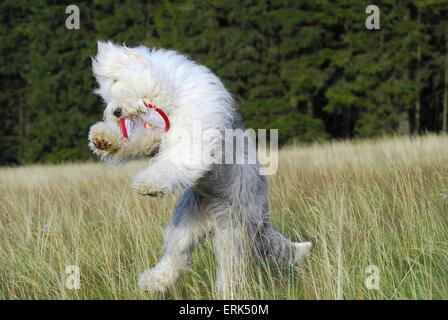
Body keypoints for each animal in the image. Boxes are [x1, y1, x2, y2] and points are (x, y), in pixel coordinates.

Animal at [87, 42, 312, 298]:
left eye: (118, 83)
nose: (116, 112)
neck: (169, 99)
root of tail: (262, 219)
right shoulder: (150, 136)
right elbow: (135, 139)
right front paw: (103, 138)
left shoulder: (193, 130)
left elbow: (179, 156)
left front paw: (148, 184)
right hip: (183, 225)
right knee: (176, 258)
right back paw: (152, 282)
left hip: (231, 233)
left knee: (230, 268)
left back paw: (225, 293)